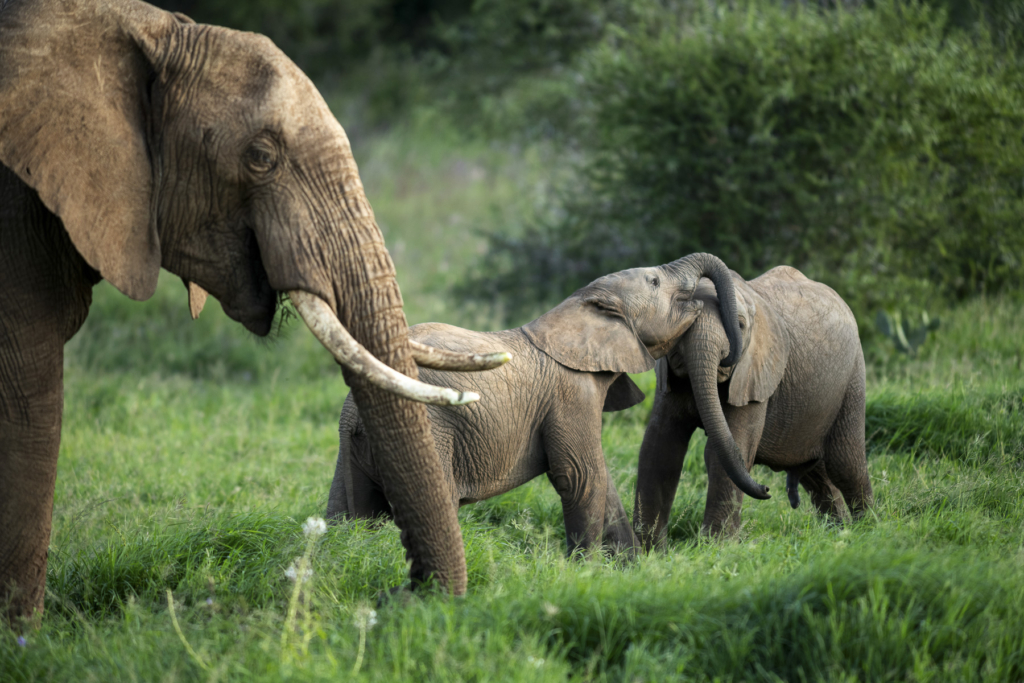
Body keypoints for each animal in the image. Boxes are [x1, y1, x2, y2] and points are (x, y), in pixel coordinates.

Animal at [327, 253, 745, 557]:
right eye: (656, 282)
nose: (732, 351)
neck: (578, 306)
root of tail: (354, 413)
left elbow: (603, 482)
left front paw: (631, 568)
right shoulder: (571, 394)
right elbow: (580, 476)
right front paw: (585, 571)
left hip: (350, 447)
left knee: (348, 510)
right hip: (431, 432)